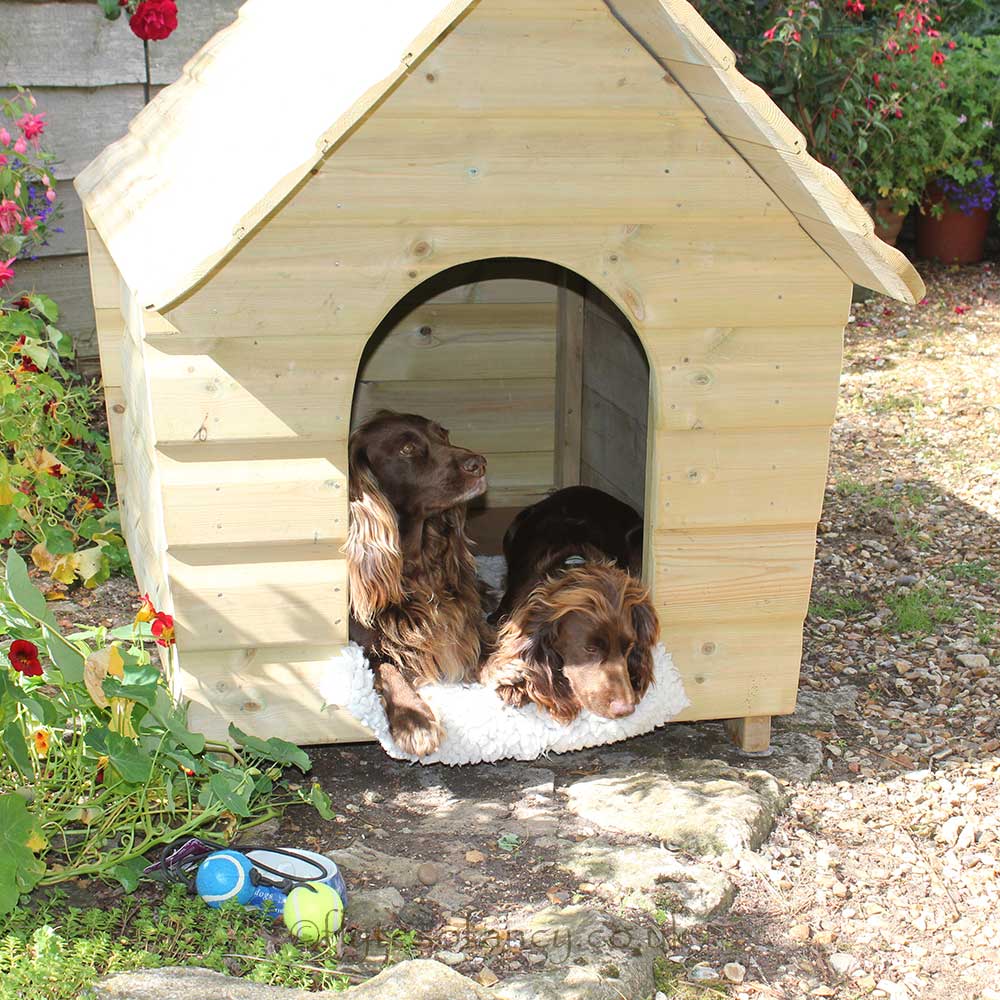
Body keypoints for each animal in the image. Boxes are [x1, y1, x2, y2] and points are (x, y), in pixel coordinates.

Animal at [346, 410, 494, 752]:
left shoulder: (470, 623)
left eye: (443, 434)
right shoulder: (365, 643)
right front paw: (414, 720)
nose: (479, 464)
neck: (416, 566)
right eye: (407, 449)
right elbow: (388, 669)